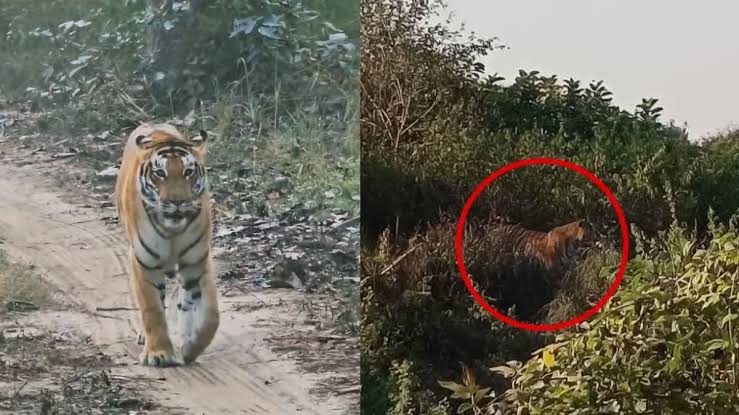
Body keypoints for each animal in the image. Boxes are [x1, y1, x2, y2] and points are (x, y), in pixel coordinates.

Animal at [114, 123, 219, 367]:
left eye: (188, 172)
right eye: (160, 173)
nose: (177, 202)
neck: (173, 230)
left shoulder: (197, 262)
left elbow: (210, 315)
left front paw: (190, 348)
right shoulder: (143, 262)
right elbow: (152, 309)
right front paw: (159, 353)